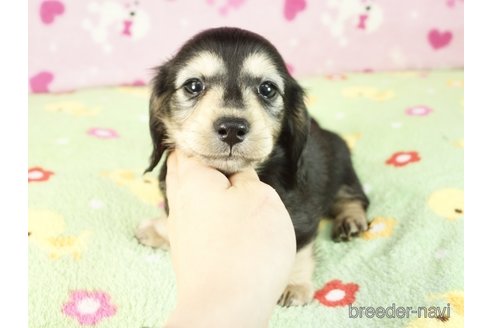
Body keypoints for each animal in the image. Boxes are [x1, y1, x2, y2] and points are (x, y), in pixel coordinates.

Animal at [135, 26, 368, 306]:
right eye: (193, 85)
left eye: (267, 89)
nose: (232, 129)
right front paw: (159, 230)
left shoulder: (300, 216)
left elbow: (297, 248)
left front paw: (292, 284)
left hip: (344, 166)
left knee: (353, 198)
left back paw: (350, 220)